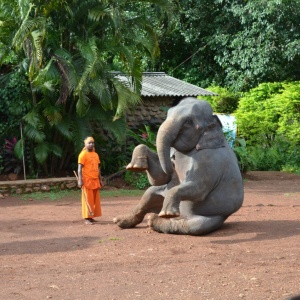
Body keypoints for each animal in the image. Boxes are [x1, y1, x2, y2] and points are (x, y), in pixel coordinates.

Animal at [113, 97, 244, 236]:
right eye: (168, 112)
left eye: (188, 121)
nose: (172, 162)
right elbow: (160, 179)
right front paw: (136, 167)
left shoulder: (208, 161)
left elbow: (198, 190)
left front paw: (167, 213)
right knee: (150, 192)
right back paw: (120, 220)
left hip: (214, 217)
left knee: (195, 225)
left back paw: (157, 218)